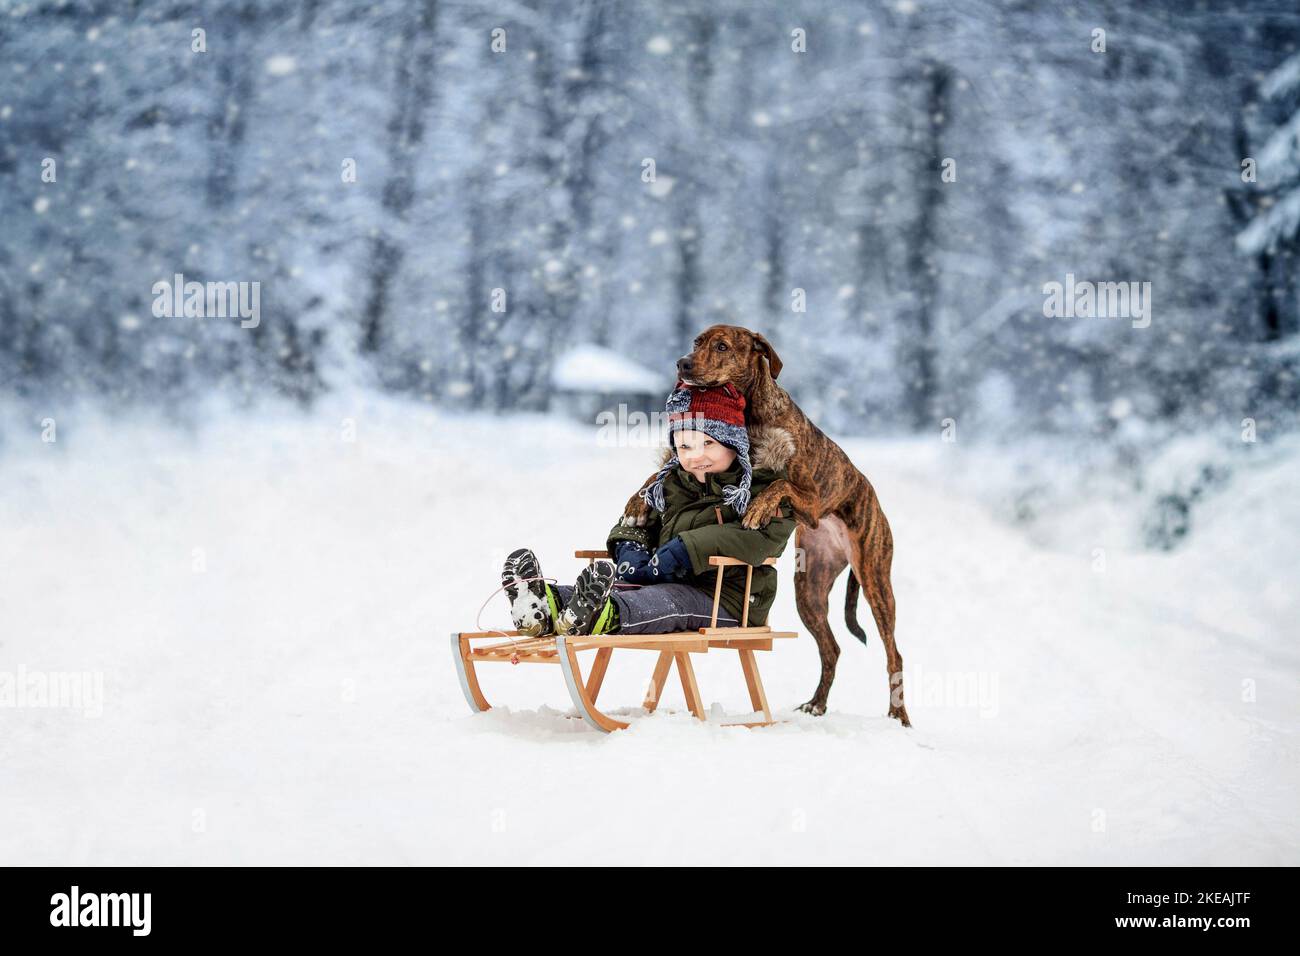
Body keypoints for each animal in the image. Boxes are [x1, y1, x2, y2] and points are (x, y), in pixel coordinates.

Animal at [624, 323, 909, 723]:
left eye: (722, 346)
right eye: (697, 342)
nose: (682, 362)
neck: (753, 415)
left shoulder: (812, 498)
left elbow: (780, 483)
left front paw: (757, 507)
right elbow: (662, 470)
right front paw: (637, 501)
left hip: (875, 579)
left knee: (893, 653)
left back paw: (899, 717)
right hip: (809, 588)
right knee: (831, 648)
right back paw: (817, 704)